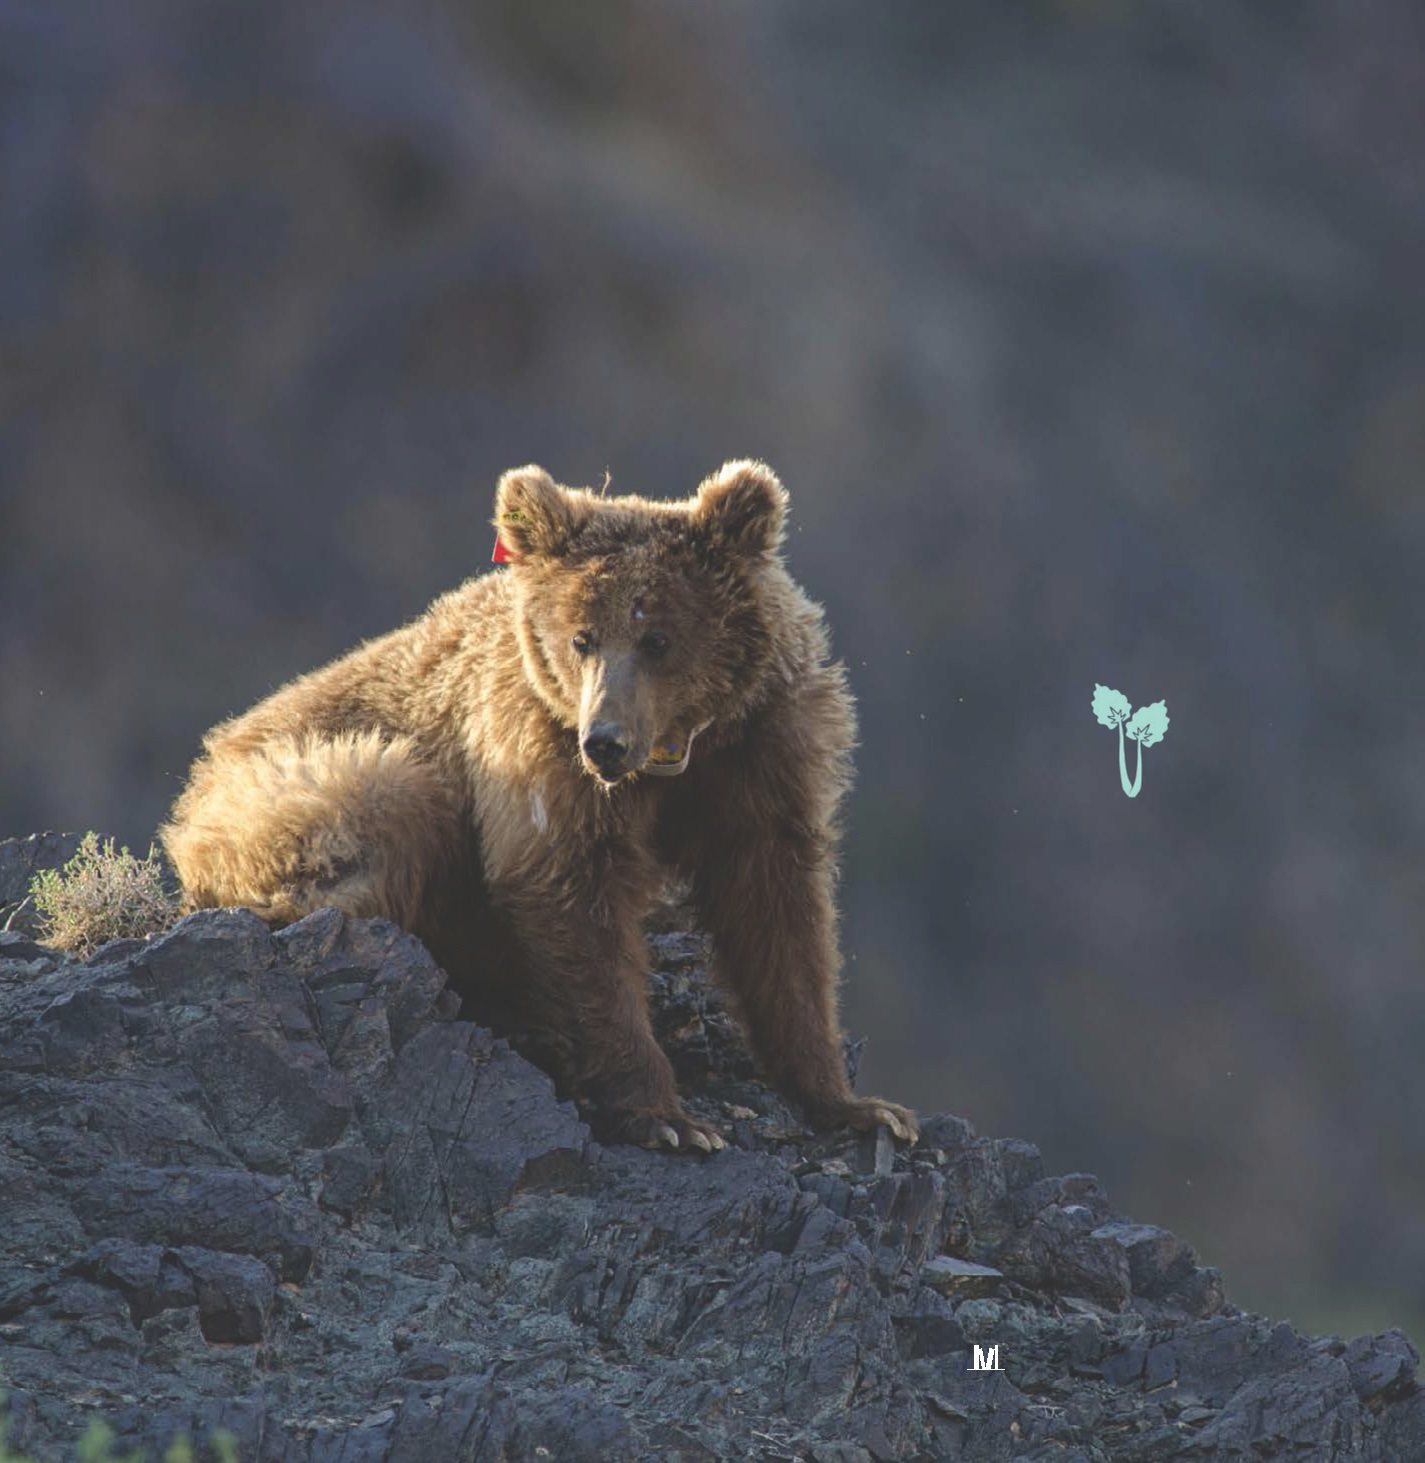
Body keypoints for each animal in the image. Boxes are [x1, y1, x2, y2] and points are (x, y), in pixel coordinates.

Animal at [161, 459, 918, 1152]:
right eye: (581, 637)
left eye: (658, 637)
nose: (605, 740)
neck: (676, 753)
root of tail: (201, 771)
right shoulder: (534, 746)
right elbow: (569, 892)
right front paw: (668, 1117)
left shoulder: (762, 752)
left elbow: (778, 910)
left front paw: (859, 1104)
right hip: (292, 787)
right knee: (384, 808)